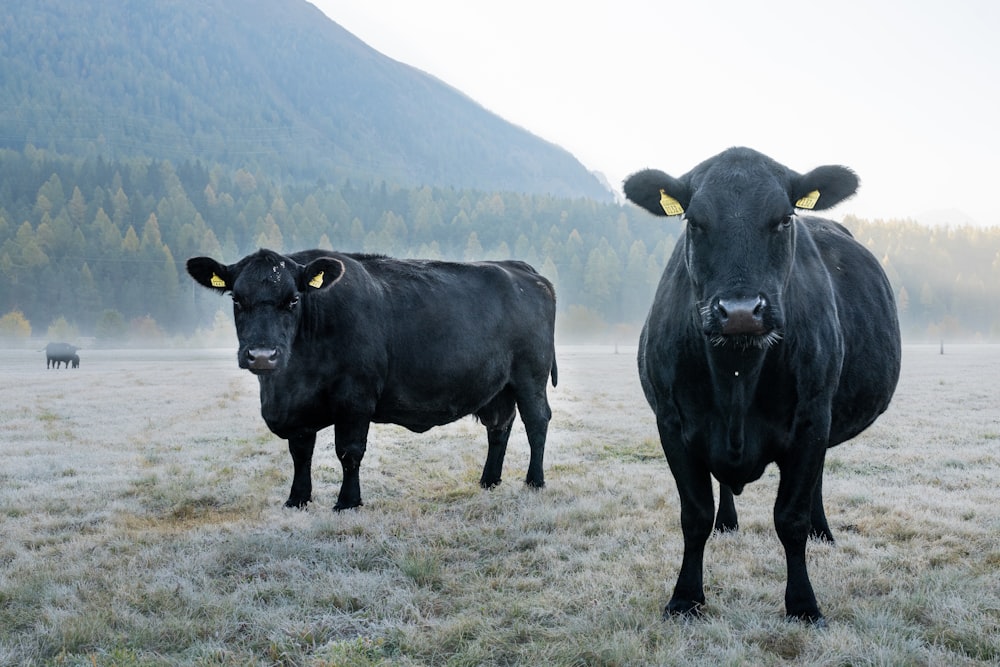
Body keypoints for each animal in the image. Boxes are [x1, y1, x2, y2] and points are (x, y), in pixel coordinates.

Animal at [188, 249, 560, 512]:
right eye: (237, 299)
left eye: (293, 299)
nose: (263, 355)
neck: (286, 384)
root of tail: (521, 269)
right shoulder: (299, 409)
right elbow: (300, 452)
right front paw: (297, 499)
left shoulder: (355, 398)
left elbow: (349, 451)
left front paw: (347, 502)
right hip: (500, 388)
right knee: (499, 427)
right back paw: (489, 481)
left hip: (530, 376)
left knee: (536, 421)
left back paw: (534, 481)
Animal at [624, 149, 900, 624]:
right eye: (694, 221)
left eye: (784, 219)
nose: (740, 311)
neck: (737, 375)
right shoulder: (672, 424)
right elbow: (694, 516)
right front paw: (685, 598)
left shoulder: (811, 420)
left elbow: (790, 517)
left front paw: (803, 604)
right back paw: (728, 523)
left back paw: (822, 531)